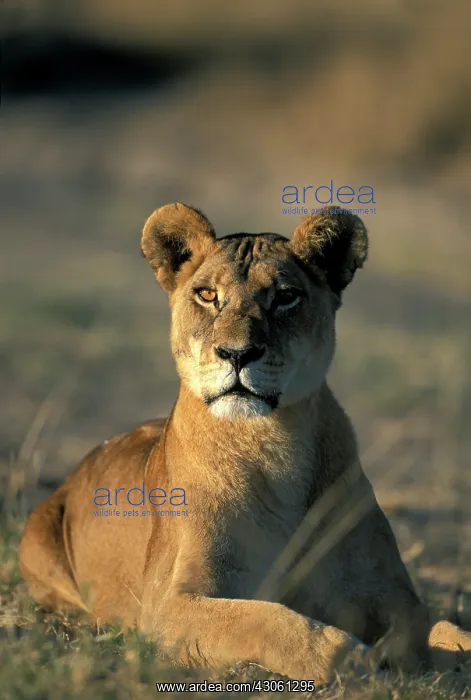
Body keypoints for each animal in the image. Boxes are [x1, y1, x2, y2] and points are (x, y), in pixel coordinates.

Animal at [19, 203, 471, 684]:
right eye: (207, 295)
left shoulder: (393, 594)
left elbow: (440, 628)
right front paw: (355, 657)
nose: (237, 354)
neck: (272, 443)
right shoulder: (165, 607)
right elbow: (266, 619)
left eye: (285, 297)